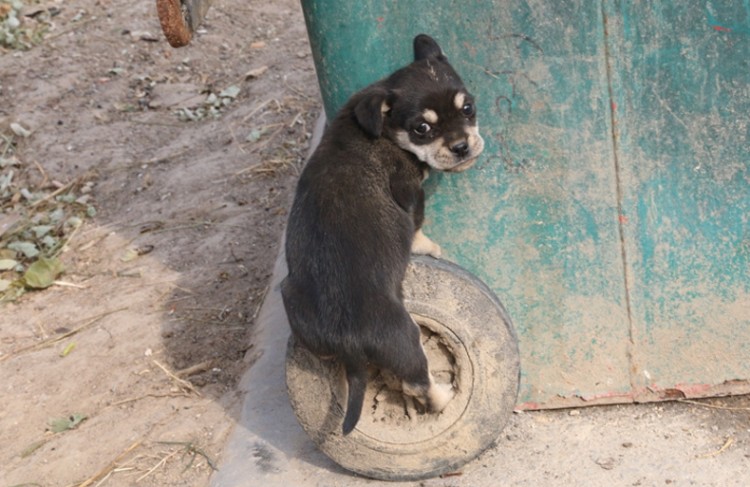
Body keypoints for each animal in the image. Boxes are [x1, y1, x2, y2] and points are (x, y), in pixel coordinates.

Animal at [284, 33, 488, 434]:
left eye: (468, 107)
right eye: (422, 128)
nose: (461, 147)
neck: (382, 130)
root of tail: (346, 343)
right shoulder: (409, 192)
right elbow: (416, 225)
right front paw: (429, 247)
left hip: (295, 305)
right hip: (404, 337)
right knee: (416, 381)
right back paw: (444, 396)